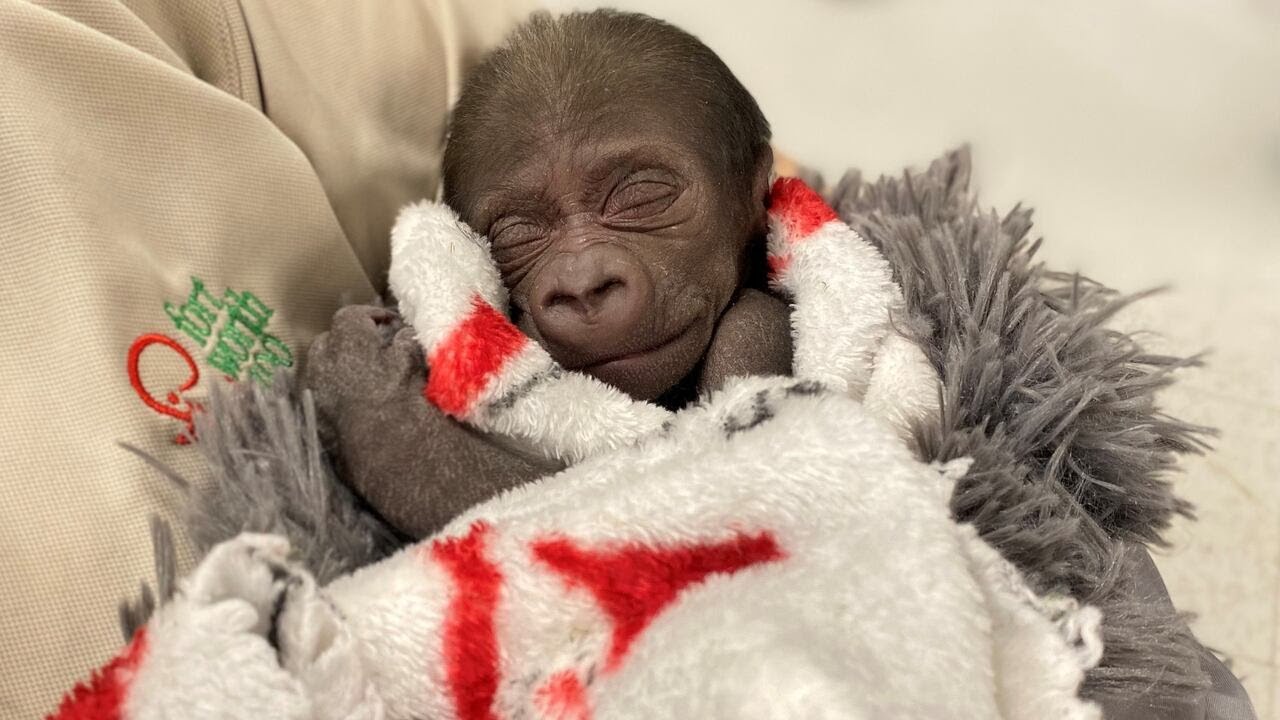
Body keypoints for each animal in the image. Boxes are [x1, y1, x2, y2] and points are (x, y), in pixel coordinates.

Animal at [303, 9, 796, 538]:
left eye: (642, 196)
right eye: (515, 235)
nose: (583, 287)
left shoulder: (753, 330)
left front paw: (369, 396)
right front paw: (363, 383)